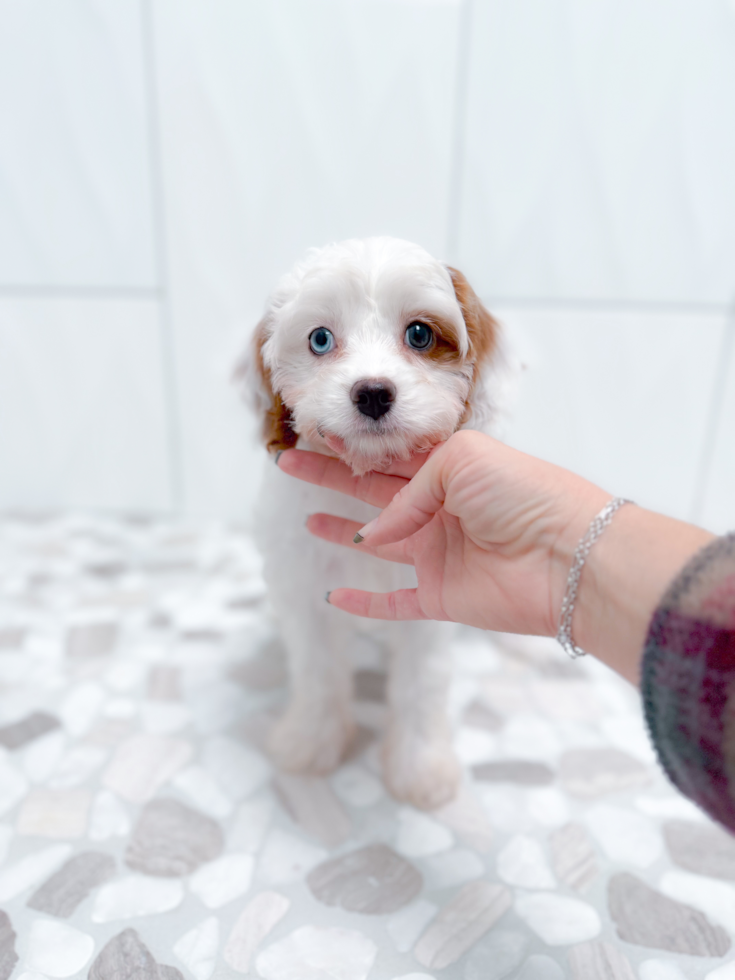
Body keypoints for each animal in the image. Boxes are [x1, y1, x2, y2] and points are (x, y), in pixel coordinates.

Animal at [242, 237, 506, 812]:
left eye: (420, 335)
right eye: (320, 339)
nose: (373, 392)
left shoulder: (426, 598)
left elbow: (420, 684)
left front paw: (420, 768)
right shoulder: (304, 585)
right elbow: (317, 669)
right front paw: (310, 742)